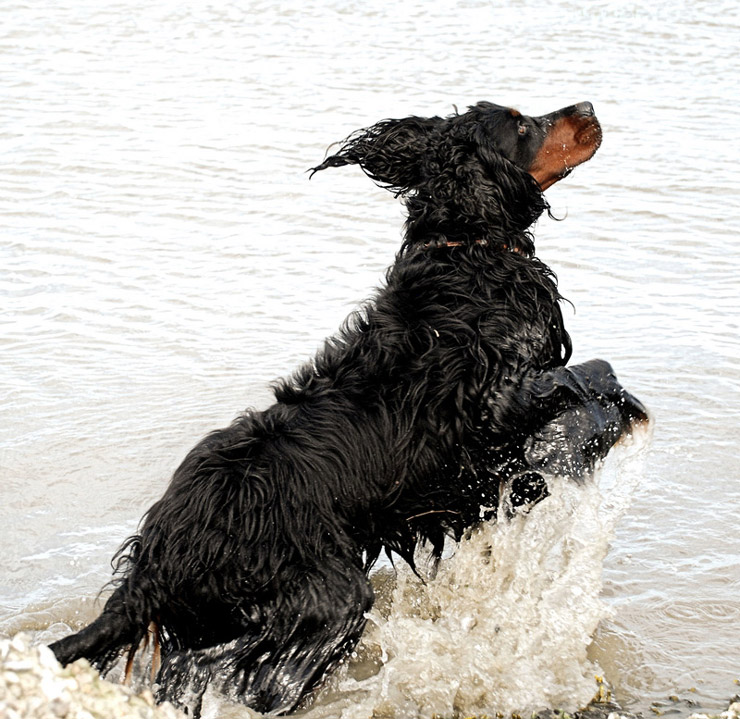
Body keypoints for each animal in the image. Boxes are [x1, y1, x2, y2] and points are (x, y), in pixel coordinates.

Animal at [50, 101, 648, 716]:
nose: (589, 108)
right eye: (523, 125)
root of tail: (160, 556)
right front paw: (610, 419)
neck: (467, 253)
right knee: (245, 676)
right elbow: (589, 373)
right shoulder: (493, 408)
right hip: (327, 599)